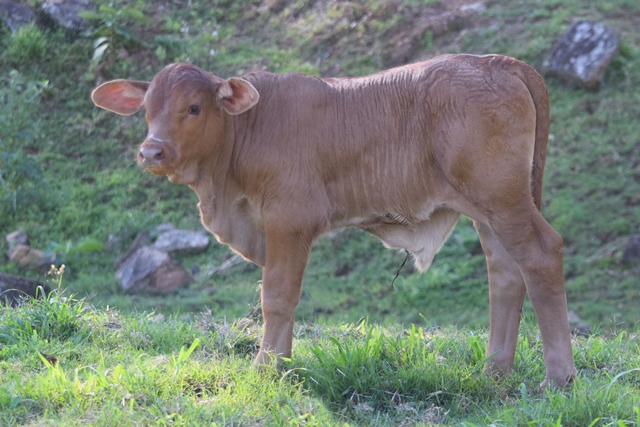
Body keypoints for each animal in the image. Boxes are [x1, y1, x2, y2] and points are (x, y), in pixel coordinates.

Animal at [91, 54, 576, 388]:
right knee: (506, 271)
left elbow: (277, 296)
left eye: (193, 108)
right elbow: (284, 299)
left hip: (501, 198)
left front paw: (265, 367)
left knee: (540, 254)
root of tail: (493, 61)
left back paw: (558, 377)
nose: (151, 151)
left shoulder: (289, 217)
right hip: (489, 209)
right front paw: (283, 363)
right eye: (147, 109)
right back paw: (494, 371)